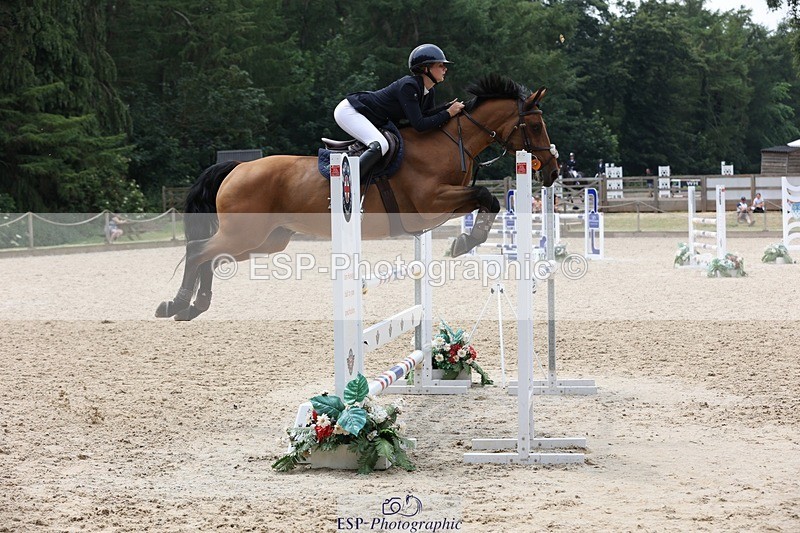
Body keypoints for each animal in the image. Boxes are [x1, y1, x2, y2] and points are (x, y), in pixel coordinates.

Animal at [155, 74, 560, 320]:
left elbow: (484, 200)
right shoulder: (428, 205)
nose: (553, 171)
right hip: (245, 234)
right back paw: (176, 303)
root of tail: (237, 168)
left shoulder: (439, 208)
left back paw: (194, 306)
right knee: (199, 251)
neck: (447, 143)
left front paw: (464, 241)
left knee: (211, 257)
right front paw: (464, 242)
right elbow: (484, 196)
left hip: (266, 241)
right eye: (535, 124)